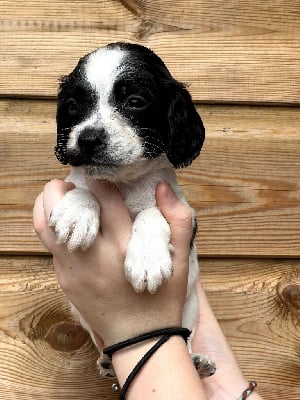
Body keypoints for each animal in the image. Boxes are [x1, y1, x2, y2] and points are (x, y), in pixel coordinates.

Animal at [51, 43, 216, 378]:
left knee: (186, 336)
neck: (123, 184)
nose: (88, 139)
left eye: (135, 102)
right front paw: (77, 212)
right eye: (73, 106)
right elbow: (82, 186)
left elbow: (151, 213)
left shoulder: (182, 210)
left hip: (190, 307)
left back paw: (196, 360)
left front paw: (147, 258)